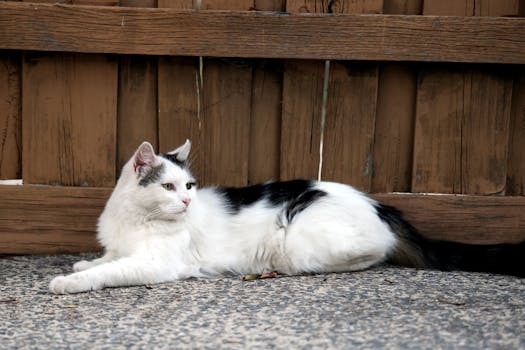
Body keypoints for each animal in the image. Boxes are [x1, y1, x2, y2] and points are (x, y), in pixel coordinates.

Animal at [48, 141, 520, 294]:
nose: (185, 203)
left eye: (189, 186)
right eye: (169, 187)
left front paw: (69, 281)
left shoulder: (157, 264)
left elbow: (110, 271)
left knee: (373, 254)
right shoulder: (124, 246)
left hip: (297, 241)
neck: (134, 218)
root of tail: (380, 205)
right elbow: (106, 259)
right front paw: (82, 262)